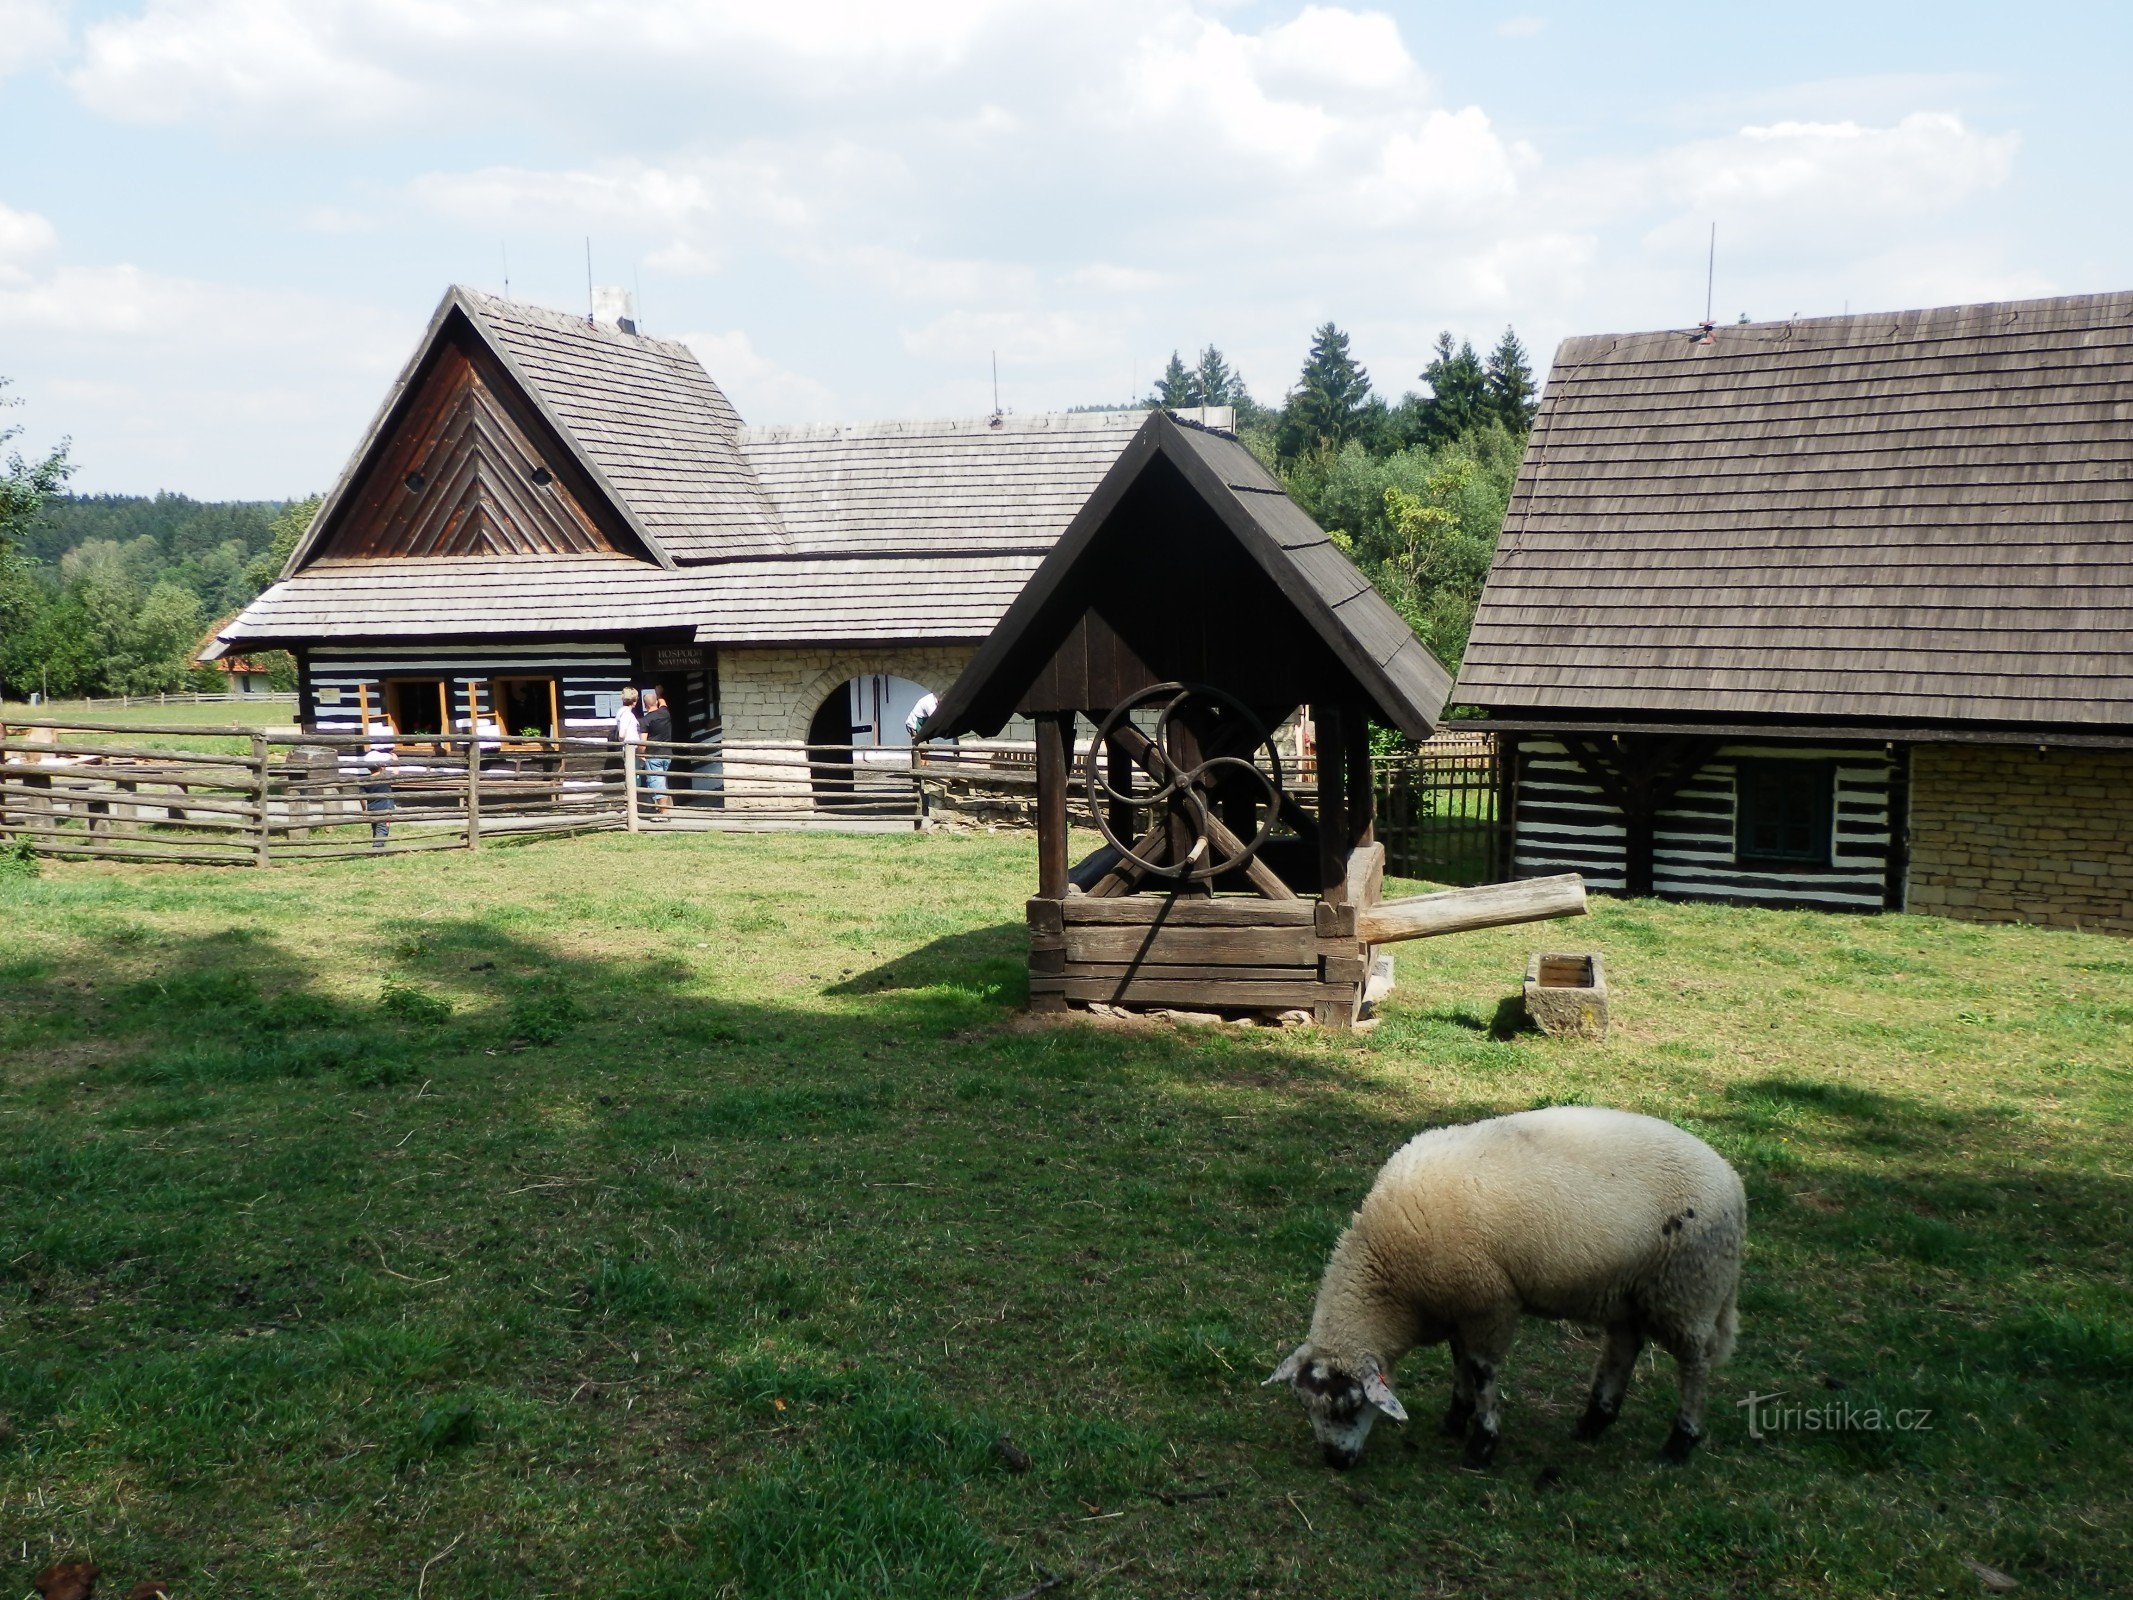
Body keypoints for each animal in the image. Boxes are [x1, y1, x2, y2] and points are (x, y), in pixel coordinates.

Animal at [1271, 1109, 1740, 1476]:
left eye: (1350, 1407)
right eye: (1306, 1407)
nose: (1335, 1462)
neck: (1391, 1278)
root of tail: (1732, 1180)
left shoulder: (1489, 1303)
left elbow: (1482, 1372)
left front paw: (1481, 1444)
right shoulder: (1460, 1303)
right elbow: (1459, 1361)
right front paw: (1455, 1420)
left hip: (1689, 1287)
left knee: (1695, 1364)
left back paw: (1679, 1443)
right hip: (1632, 1290)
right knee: (1625, 1346)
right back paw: (1592, 1424)